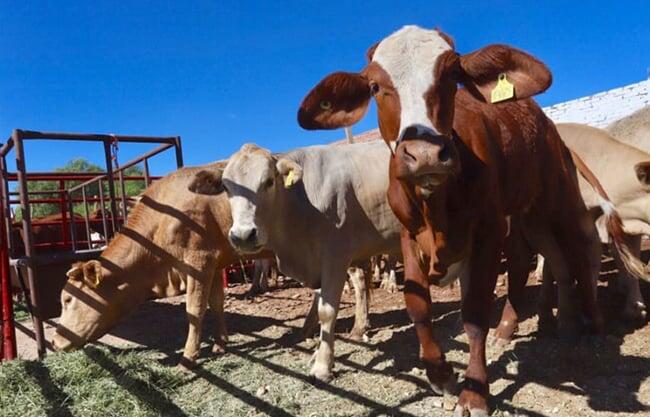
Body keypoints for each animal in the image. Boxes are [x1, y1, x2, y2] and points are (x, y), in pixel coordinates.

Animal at [298, 26, 636, 416]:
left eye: (451, 75)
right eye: (375, 86)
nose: (425, 154)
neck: (437, 207)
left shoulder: (487, 233)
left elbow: (474, 315)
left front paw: (474, 392)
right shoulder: (408, 236)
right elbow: (417, 305)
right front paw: (441, 373)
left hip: (557, 198)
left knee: (577, 253)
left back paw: (592, 324)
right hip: (525, 214)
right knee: (527, 260)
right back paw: (524, 327)